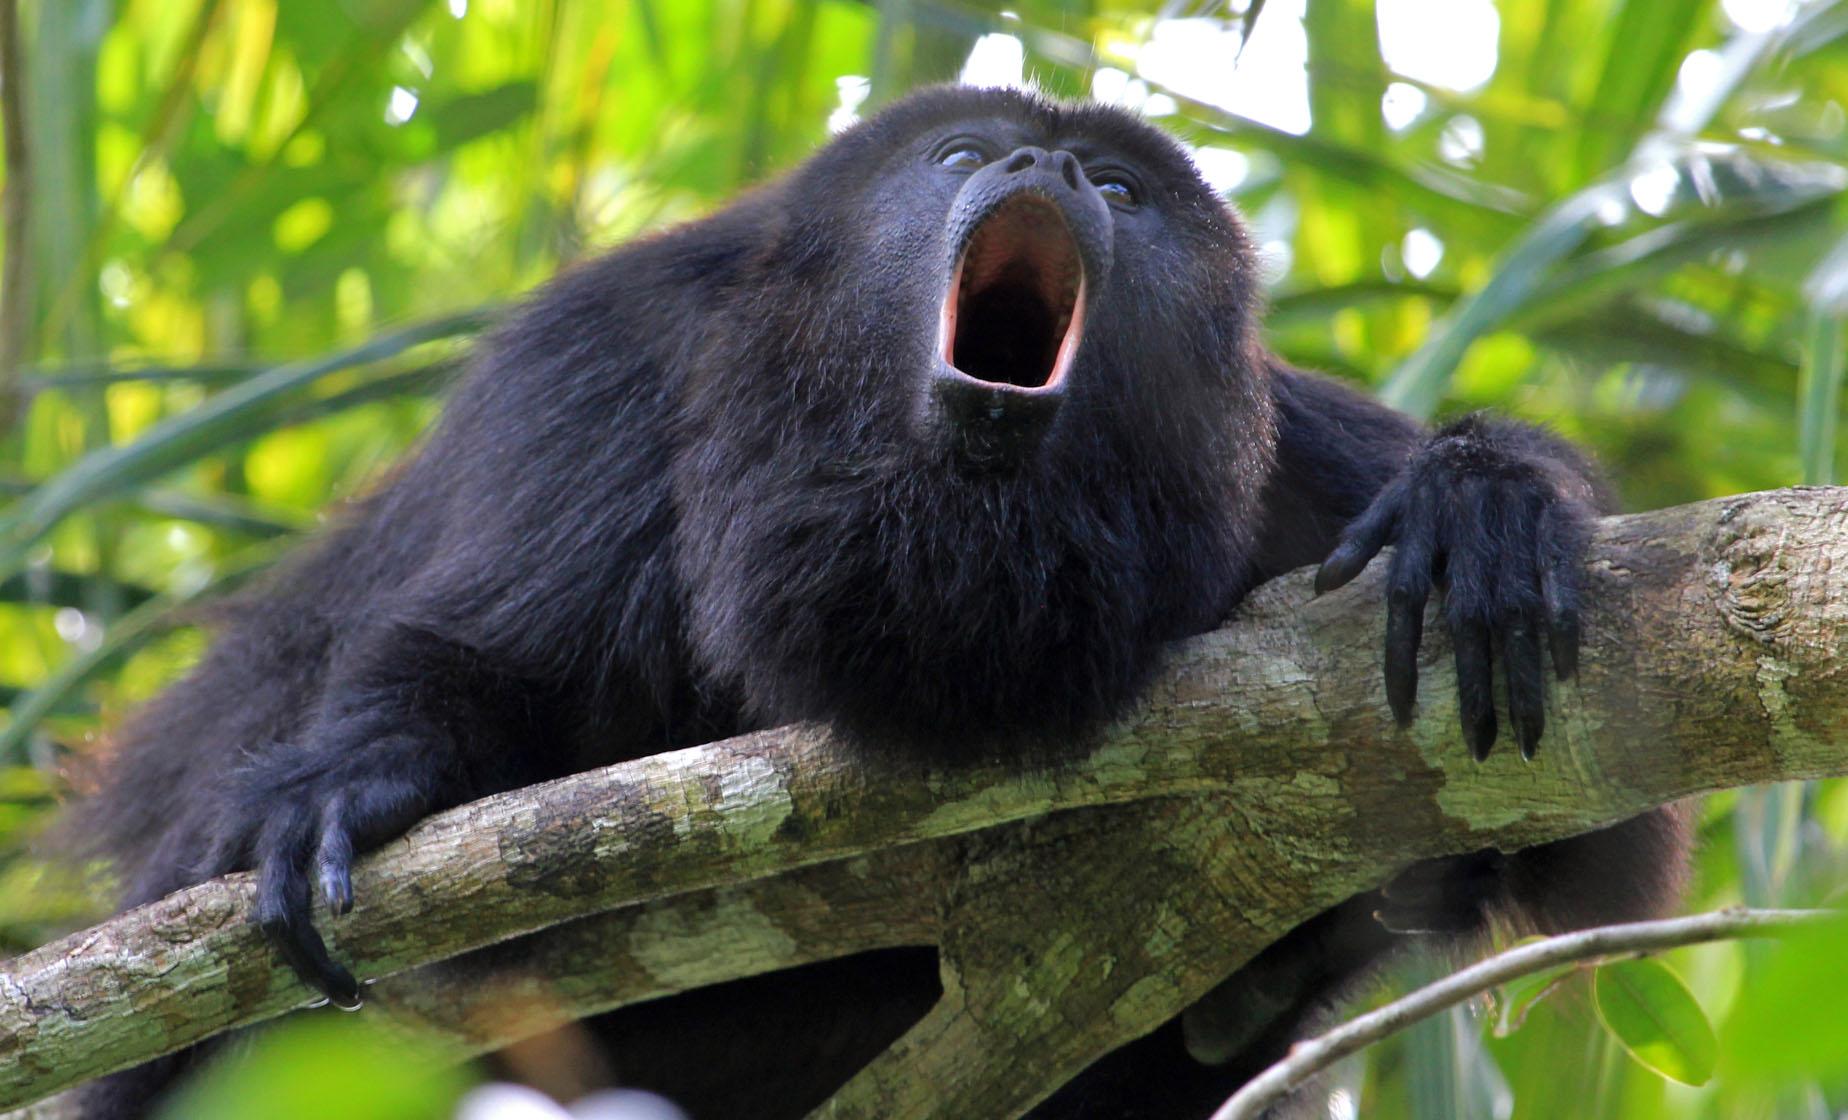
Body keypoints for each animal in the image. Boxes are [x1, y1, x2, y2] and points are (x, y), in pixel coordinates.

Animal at [68, 85, 1690, 1119]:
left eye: (1118, 189)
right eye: (965, 151)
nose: (1041, 172)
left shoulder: (1285, 458)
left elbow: (1597, 833)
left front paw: (1479, 505)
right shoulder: (604, 364)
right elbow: (483, 657)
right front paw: (360, 778)